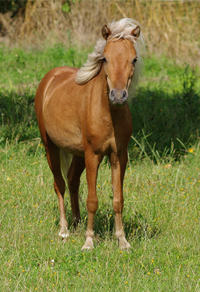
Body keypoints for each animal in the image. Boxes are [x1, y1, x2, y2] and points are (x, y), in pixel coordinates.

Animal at [34, 18, 144, 250]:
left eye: (134, 59)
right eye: (105, 58)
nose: (118, 96)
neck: (108, 114)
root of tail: (51, 77)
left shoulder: (119, 156)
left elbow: (118, 199)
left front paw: (122, 241)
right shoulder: (93, 155)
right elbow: (92, 200)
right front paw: (88, 242)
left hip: (77, 154)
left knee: (72, 180)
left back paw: (76, 222)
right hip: (51, 148)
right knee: (59, 184)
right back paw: (64, 230)